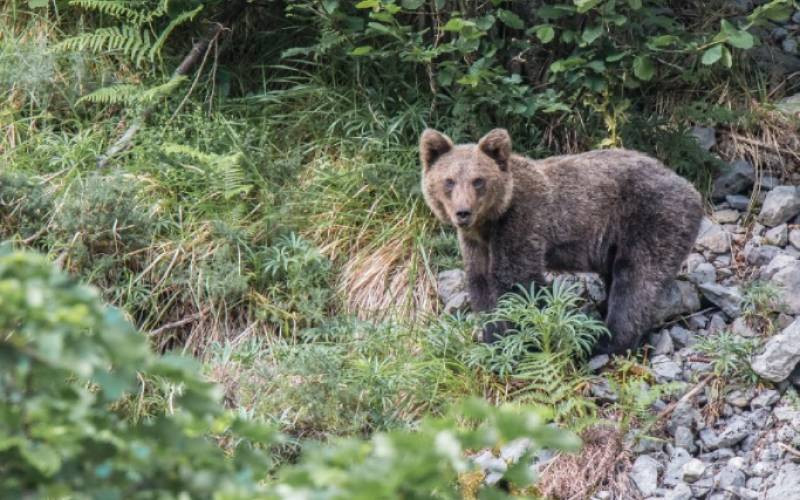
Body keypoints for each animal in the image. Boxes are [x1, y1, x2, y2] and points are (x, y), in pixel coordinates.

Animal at [418, 129, 700, 356]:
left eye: (478, 181)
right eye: (449, 181)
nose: (463, 213)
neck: (489, 223)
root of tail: (689, 186)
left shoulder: (522, 222)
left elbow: (518, 280)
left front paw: (523, 340)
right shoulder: (476, 244)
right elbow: (481, 285)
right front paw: (492, 339)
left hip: (651, 218)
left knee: (636, 280)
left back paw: (604, 341)